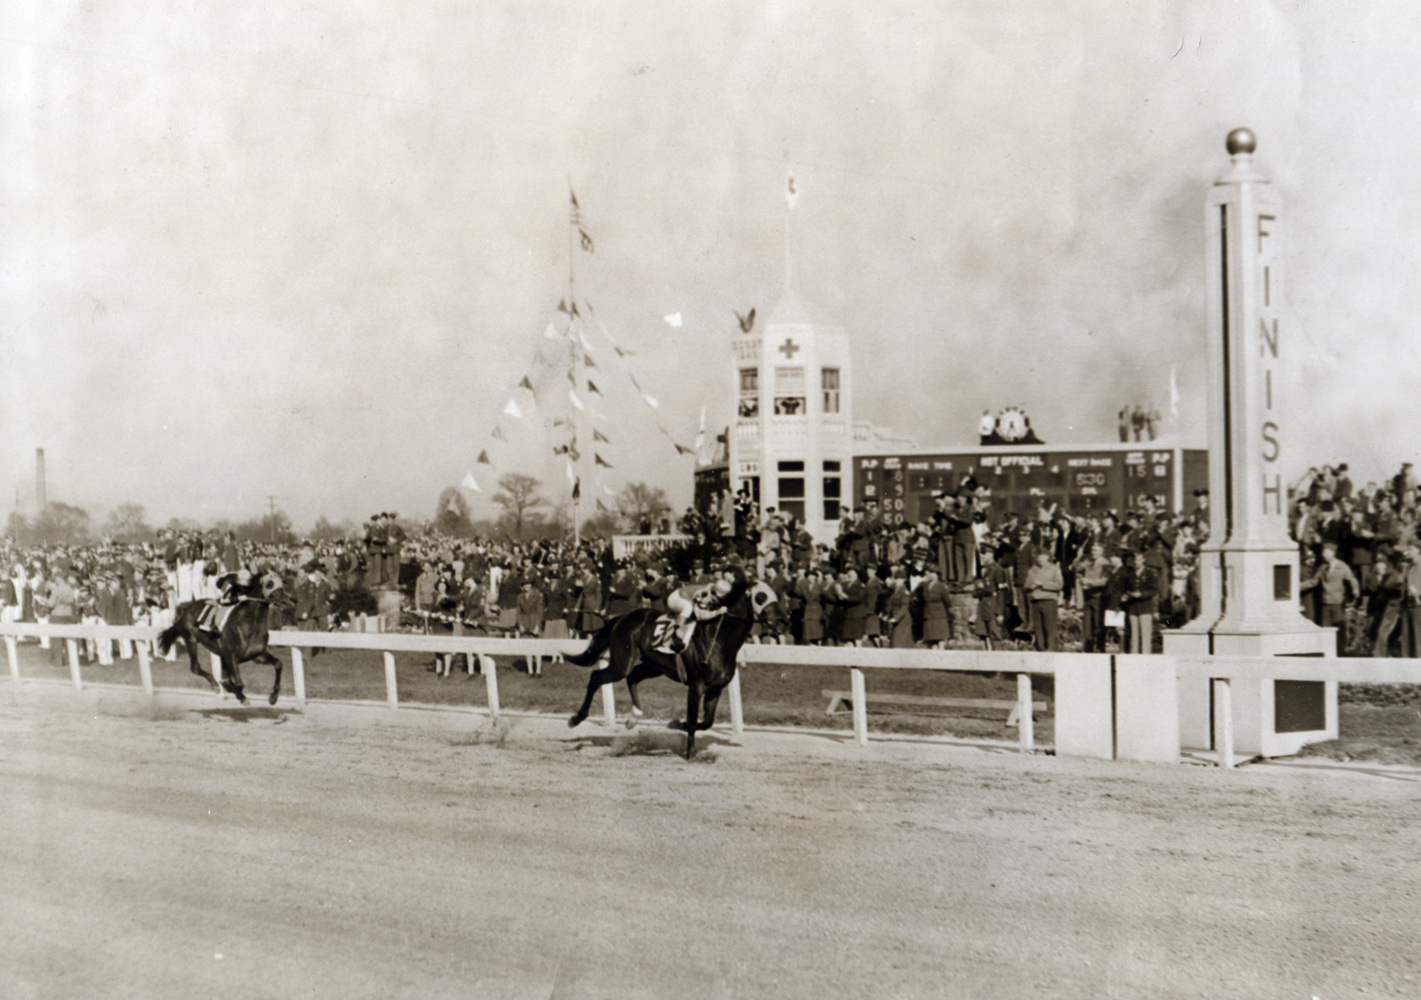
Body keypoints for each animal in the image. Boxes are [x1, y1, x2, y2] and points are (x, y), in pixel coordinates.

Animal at [157, 573, 292, 707]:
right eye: (269, 584)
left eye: (282, 582)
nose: (288, 603)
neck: (248, 624)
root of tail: (186, 608)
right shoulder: (230, 656)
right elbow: (238, 684)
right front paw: (239, 695)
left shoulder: (257, 655)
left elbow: (278, 664)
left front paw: (273, 697)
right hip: (191, 640)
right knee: (194, 667)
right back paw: (215, 685)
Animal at [565, 571, 784, 755]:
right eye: (760, 596)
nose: (782, 621)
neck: (718, 641)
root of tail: (622, 617)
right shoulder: (696, 686)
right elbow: (694, 720)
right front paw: (689, 752)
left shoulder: (716, 688)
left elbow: (707, 722)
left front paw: (676, 724)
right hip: (622, 663)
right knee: (598, 677)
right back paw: (576, 719)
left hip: (653, 666)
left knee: (633, 678)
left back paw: (633, 718)